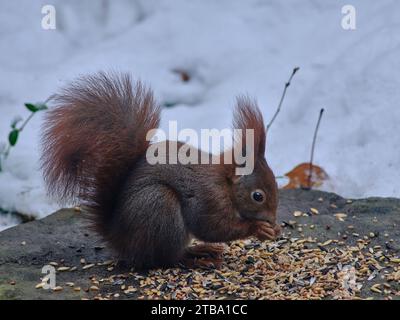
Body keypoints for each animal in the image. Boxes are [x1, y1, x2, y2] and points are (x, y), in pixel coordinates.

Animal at [39, 71, 278, 268]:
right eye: (258, 196)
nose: (274, 221)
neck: (225, 184)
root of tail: (119, 238)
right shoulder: (209, 198)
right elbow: (212, 227)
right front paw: (258, 228)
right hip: (161, 208)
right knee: (166, 259)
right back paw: (195, 259)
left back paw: (200, 250)